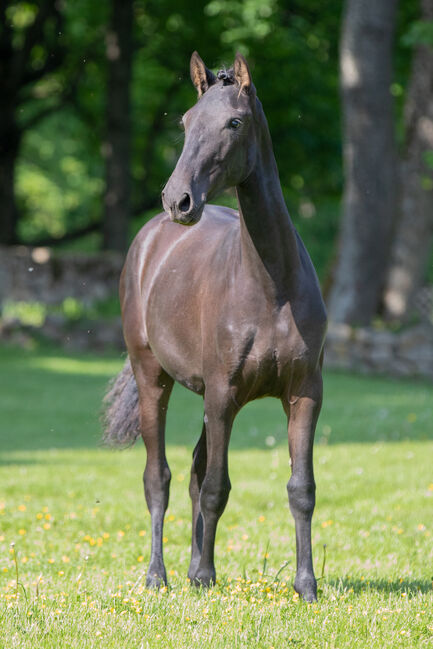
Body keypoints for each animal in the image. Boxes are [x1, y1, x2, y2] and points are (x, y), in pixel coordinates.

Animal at [103, 52, 326, 604]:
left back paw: (187, 571)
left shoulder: (304, 393)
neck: (271, 286)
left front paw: (306, 586)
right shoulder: (225, 394)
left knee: (190, 473)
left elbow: (300, 489)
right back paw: (159, 576)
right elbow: (216, 488)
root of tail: (148, 238)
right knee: (159, 478)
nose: (177, 200)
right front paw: (204, 577)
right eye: (185, 122)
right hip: (154, 380)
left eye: (234, 123)